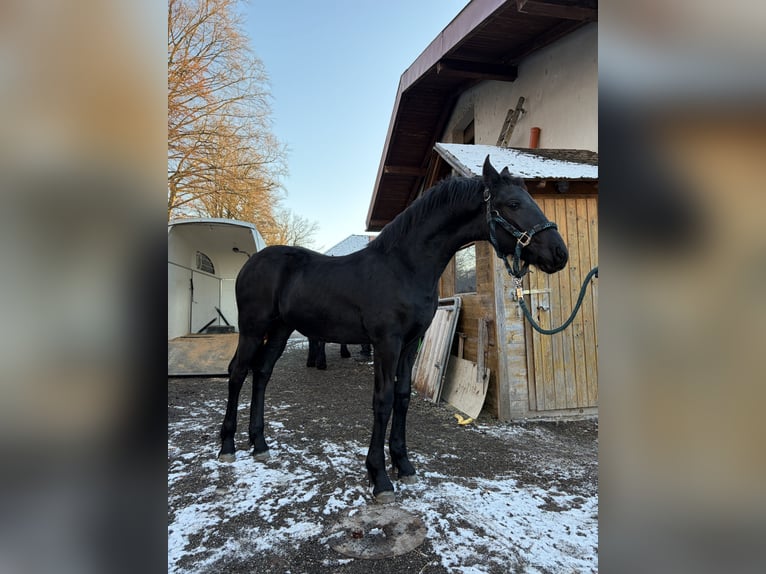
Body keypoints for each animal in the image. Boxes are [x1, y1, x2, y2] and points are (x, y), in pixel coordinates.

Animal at [218, 156, 568, 503]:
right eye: (513, 203)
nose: (560, 254)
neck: (403, 266)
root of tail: (252, 262)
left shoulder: (411, 343)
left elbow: (402, 397)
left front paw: (404, 465)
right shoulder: (387, 342)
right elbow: (383, 399)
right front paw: (380, 477)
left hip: (280, 330)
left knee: (262, 373)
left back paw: (259, 445)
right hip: (253, 329)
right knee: (238, 372)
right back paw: (228, 446)